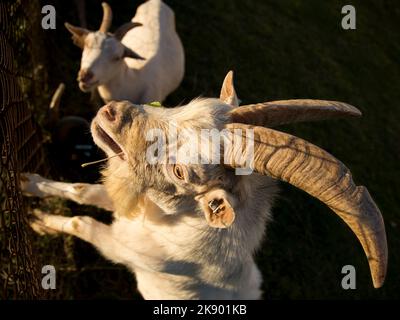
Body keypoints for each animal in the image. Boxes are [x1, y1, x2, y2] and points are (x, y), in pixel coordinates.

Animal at [21, 71, 388, 298]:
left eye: (181, 171)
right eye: (185, 105)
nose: (112, 112)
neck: (166, 229)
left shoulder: (119, 247)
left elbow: (81, 222)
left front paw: (38, 221)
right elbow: (81, 190)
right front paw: (29, 183)